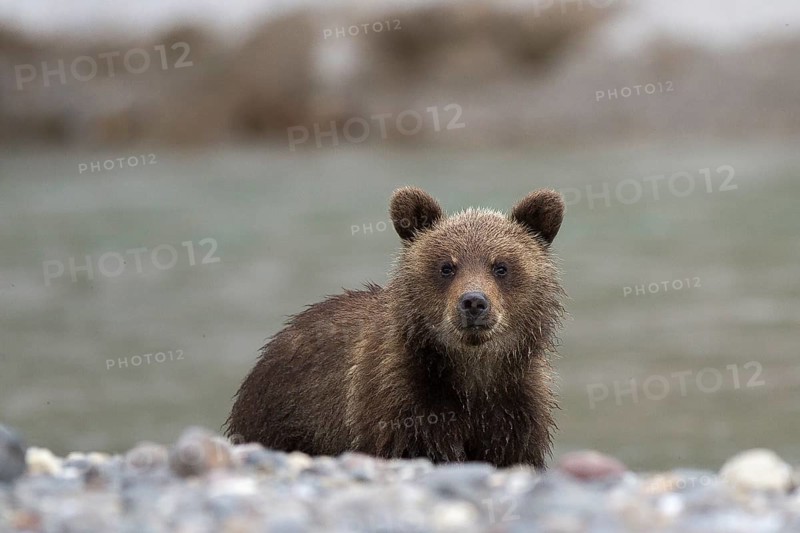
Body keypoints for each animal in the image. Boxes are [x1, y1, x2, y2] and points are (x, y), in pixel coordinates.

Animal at [225, 187, 566, 468]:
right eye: (446, 266)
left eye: (501, 266)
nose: (473, 302)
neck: (473, 374)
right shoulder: (399, 399)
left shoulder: (517, 409)